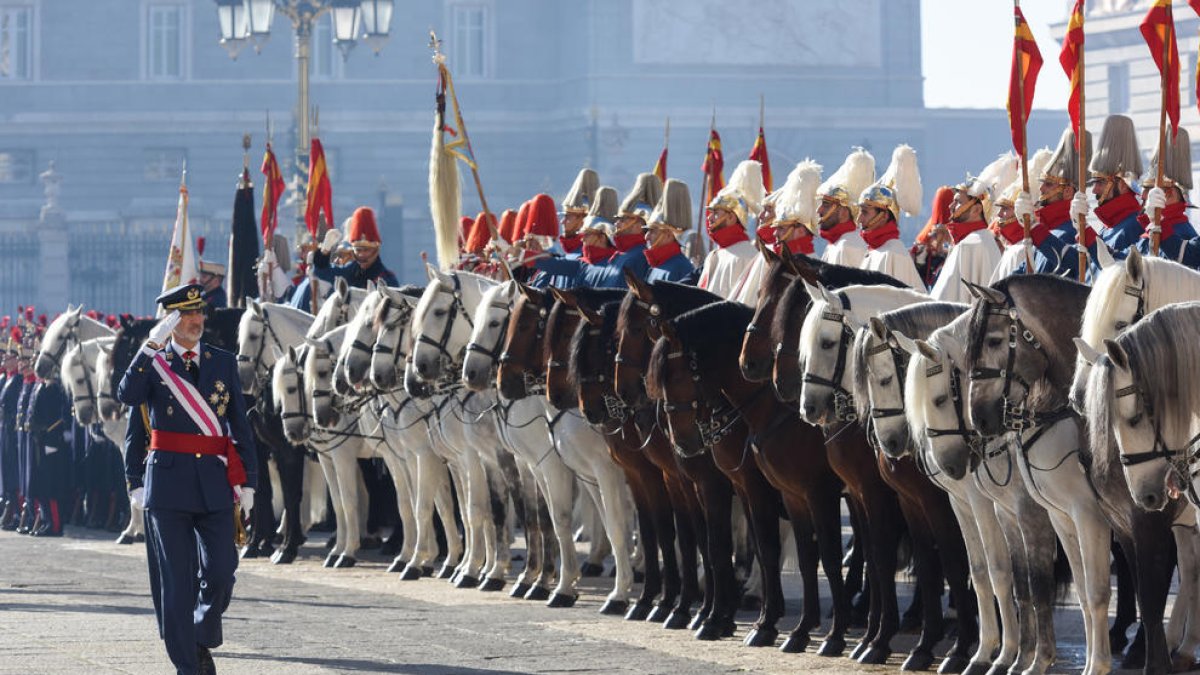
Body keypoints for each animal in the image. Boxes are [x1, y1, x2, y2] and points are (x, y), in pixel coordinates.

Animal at [964, 275, 1200, 672]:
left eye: (994, 340)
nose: (979, 417)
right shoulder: (1084, 518)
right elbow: (1090, 592)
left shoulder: (1121, 519)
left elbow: (1135, 596)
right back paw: (1181, 648)